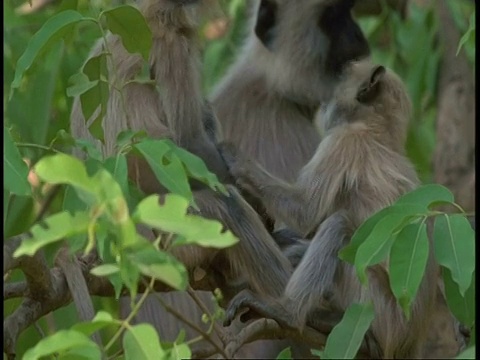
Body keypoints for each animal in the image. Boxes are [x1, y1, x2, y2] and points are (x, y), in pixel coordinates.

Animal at [221, 60, 438, 358]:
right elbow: (307, 226)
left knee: (340, 225)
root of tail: (411, 337)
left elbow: (305, 211)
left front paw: (235, 159)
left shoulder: (343, 141)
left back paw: (288, 312)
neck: (376, 129)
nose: (324, 101)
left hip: (376, 308)